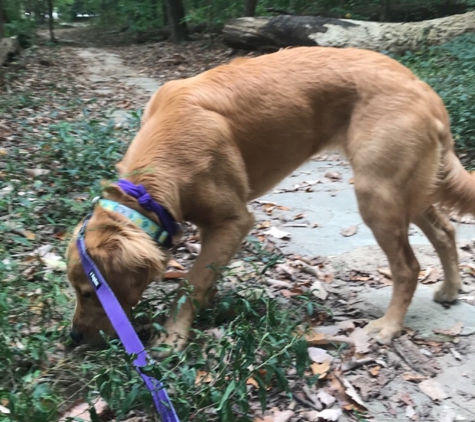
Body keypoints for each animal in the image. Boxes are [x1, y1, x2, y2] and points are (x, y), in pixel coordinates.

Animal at [66, 47, 472, 352]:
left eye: (89, 293)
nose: (73, 338)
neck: (152, 181)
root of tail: (425, 90)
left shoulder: (234, 219)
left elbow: (191, 281)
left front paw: (173, 335)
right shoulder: (213, 227)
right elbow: (205, 276)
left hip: (377, 194)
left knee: (408, 266)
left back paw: (389, 326)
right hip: (407, 191)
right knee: (445, 231)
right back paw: (451, 289)